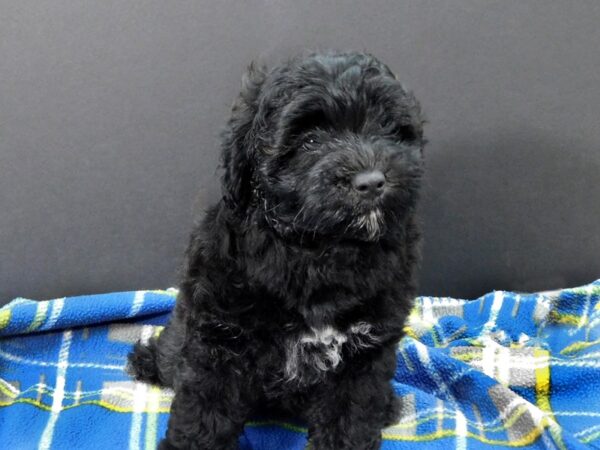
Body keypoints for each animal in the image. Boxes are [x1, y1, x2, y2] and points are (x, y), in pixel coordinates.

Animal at [129, 51, 424, 450]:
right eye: (311, 140)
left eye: (389, 130)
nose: (372, 181)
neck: (317, 250)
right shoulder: (218, 337)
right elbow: (204, 413)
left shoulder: (364, 353)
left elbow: (351, 416)